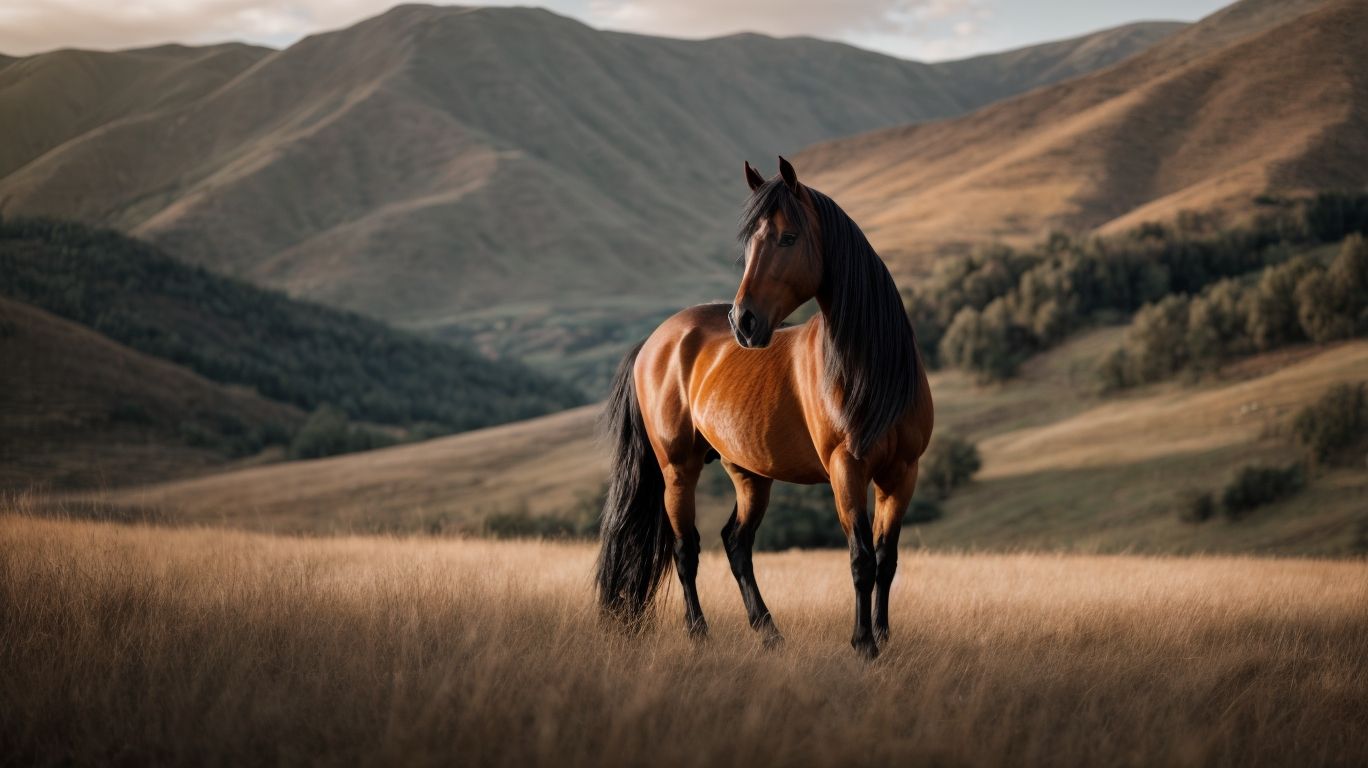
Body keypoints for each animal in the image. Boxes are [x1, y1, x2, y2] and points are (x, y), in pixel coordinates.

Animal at [594, 157, 933, 658]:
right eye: (750, 242)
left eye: (787, 237)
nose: (743, 322)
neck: (870, 371)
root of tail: (655, 342)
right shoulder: (846, 469)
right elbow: (860, 560)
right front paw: (863, 644)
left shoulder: (902, 473)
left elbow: (886, 560)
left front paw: (884, 637)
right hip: (677, 468)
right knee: (685, 549)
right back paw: (700, 633)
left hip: (749, 473)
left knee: (736, 544)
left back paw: (768, 631)